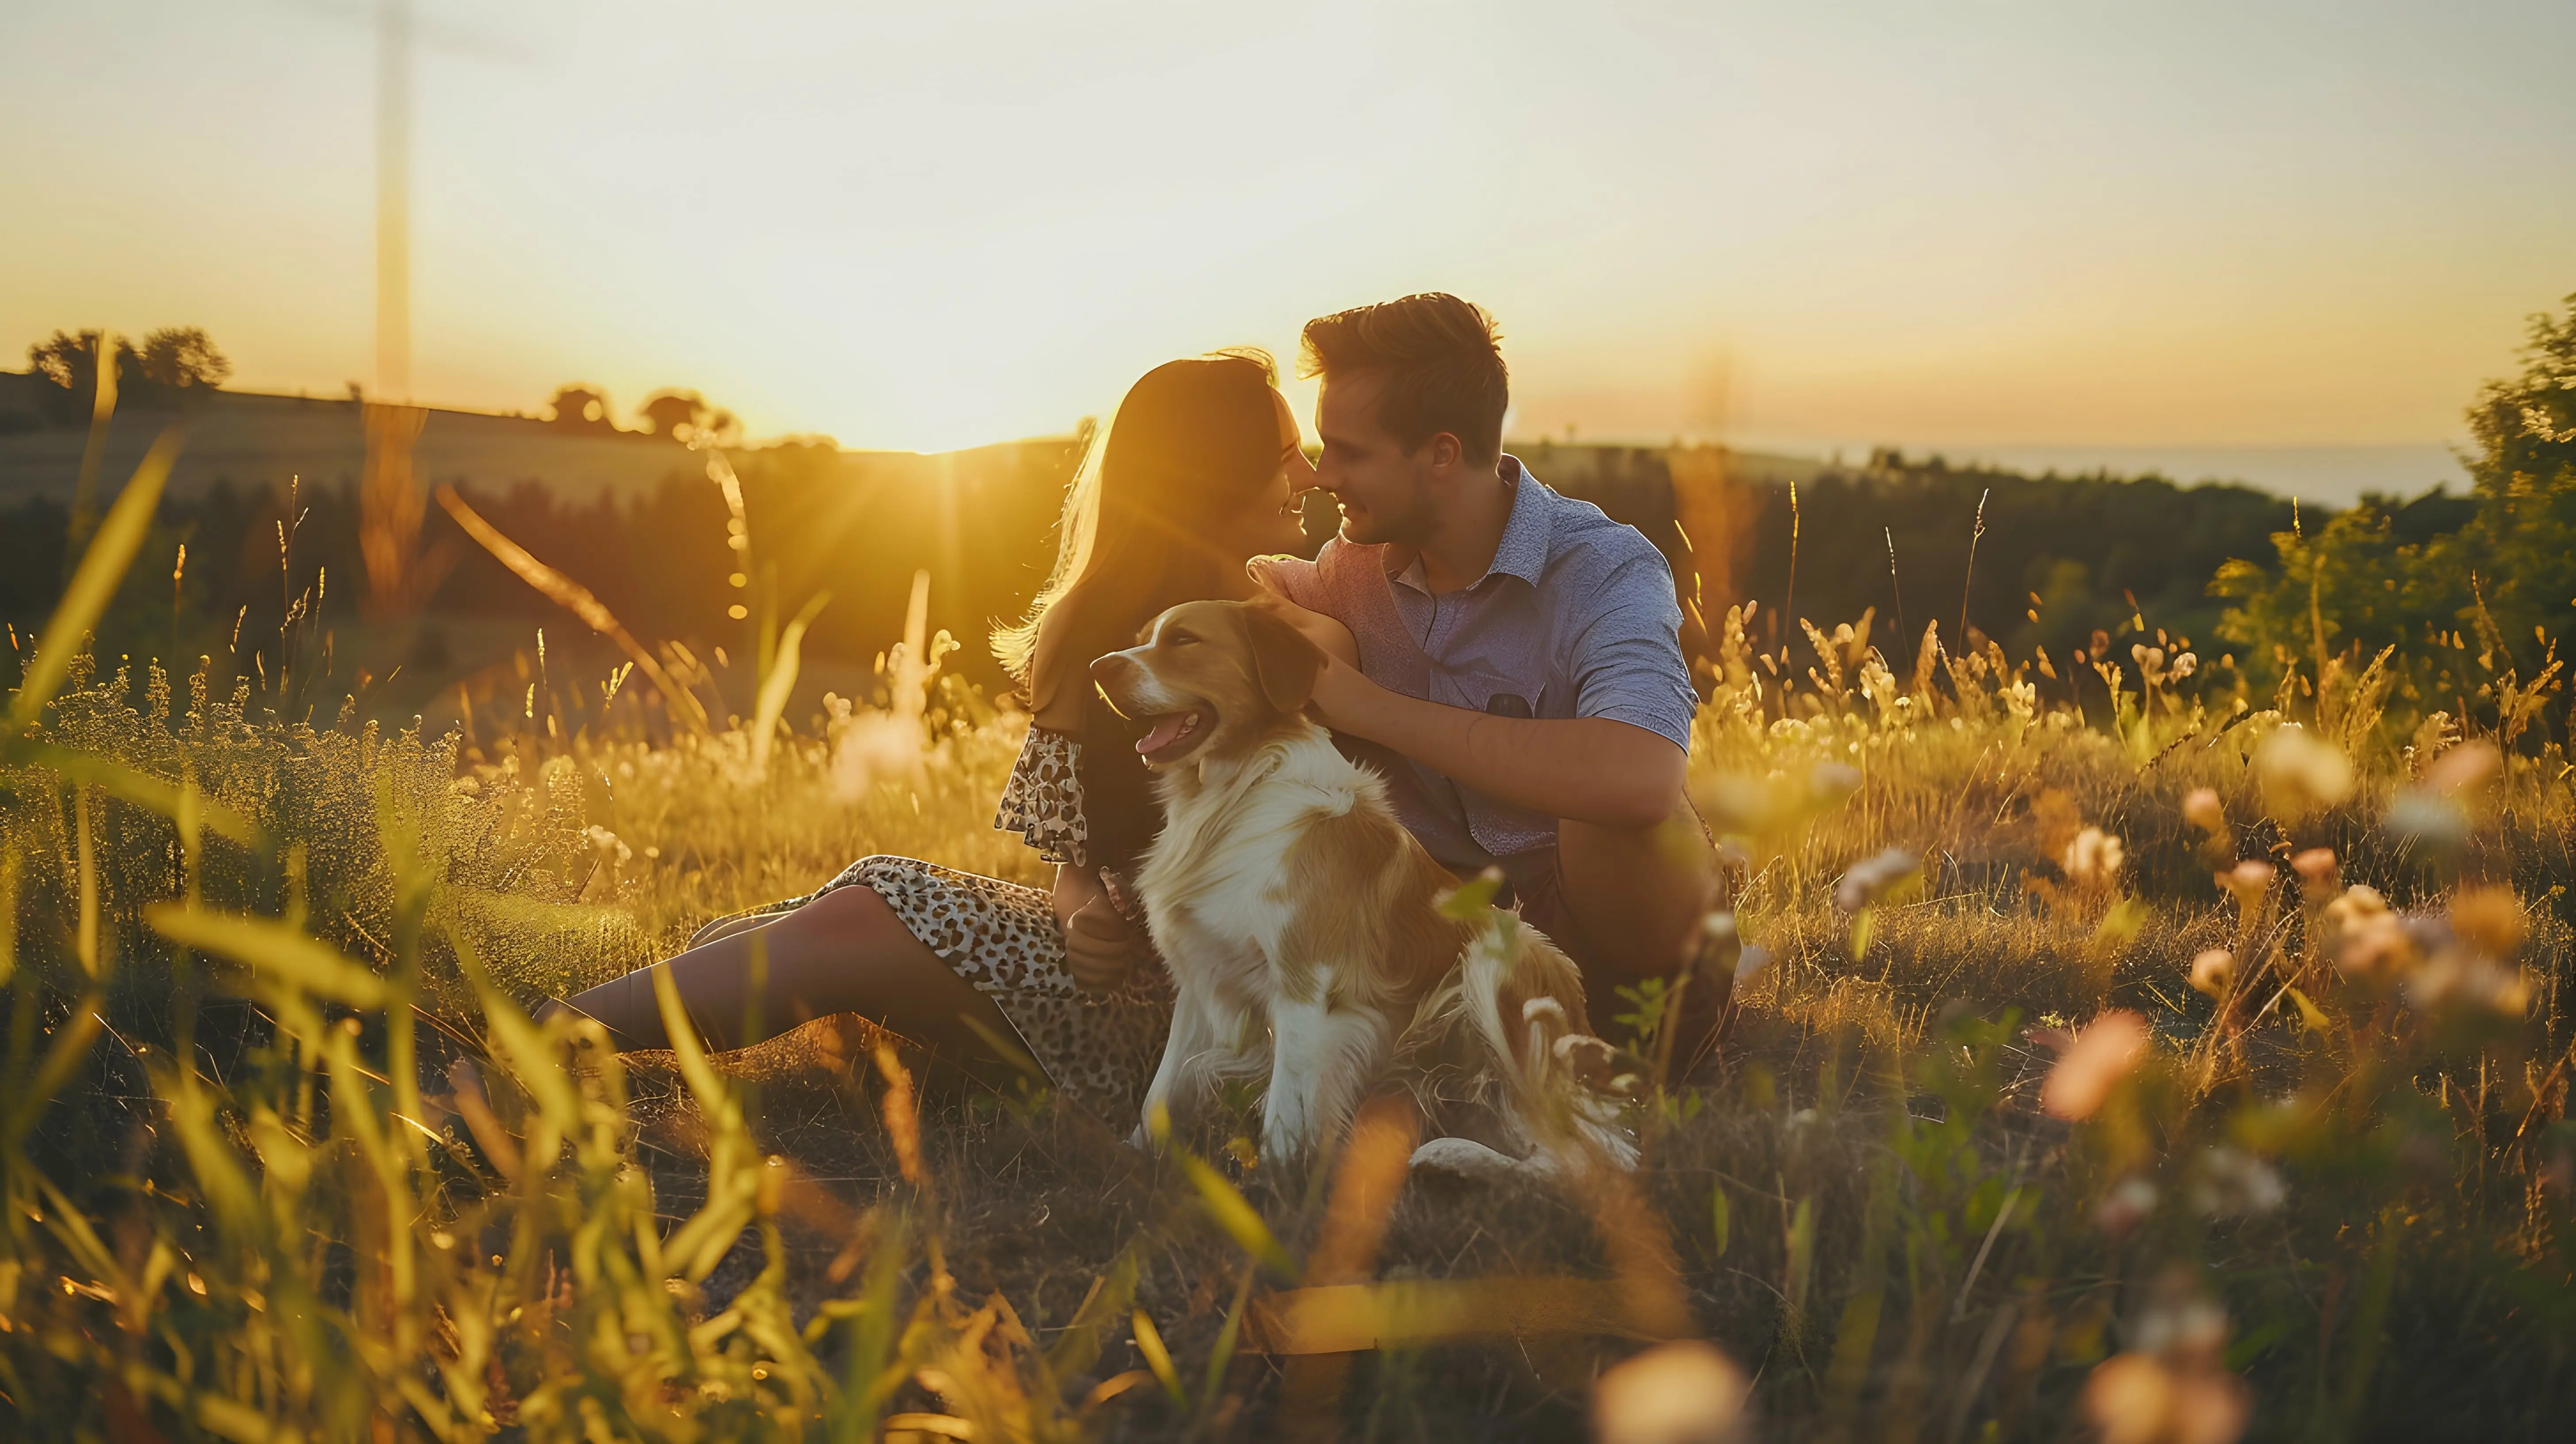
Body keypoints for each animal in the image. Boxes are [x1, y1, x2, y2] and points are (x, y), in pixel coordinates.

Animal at [1087, 598, 1628, 1175]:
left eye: (1185, 640)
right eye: (1143, 640)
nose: (1098, 668)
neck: (1233, 795)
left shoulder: (1303, 982)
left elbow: (1283, 1112)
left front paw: (1276, 1186)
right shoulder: (1198, 972)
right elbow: (1160, 1092)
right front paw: (1134, 1156)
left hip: (1497, 959)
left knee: (1579, 1159)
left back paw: (1455, 1162)